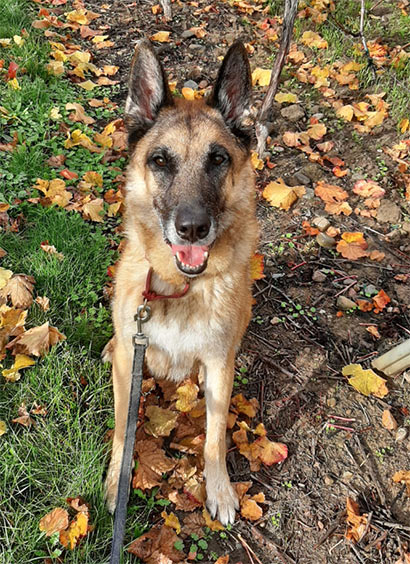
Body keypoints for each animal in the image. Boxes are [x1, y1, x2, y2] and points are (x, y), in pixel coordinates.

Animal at [104, 39, 259, 525]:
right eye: (160, 161)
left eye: (218, 159)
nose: (192, 228)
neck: (177, 285)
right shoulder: (130, 363)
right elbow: (123, 430)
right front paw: (116, 483)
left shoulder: (220, 366)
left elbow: (214, 437)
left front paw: (220, 489)